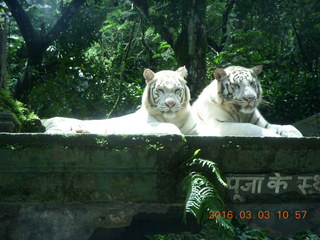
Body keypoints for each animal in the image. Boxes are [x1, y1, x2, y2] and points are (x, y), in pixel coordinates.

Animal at [41, 66, 199, 136]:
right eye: (160, 90)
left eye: (177, 90)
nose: (170, 104)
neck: (173, 119)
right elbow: (171, 128)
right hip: (59, 124)